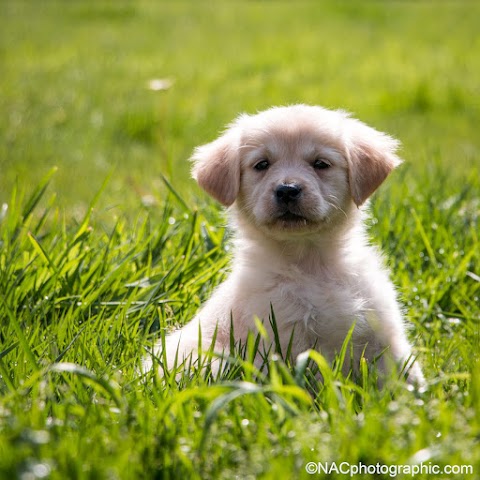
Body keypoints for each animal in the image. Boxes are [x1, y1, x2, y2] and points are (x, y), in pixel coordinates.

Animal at [145, 105, 424, 386]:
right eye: (262, 164)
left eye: (321, 164)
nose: (287, 190)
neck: (309, 263)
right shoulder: (280, 340)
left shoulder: (383, 332)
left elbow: (407, 376)